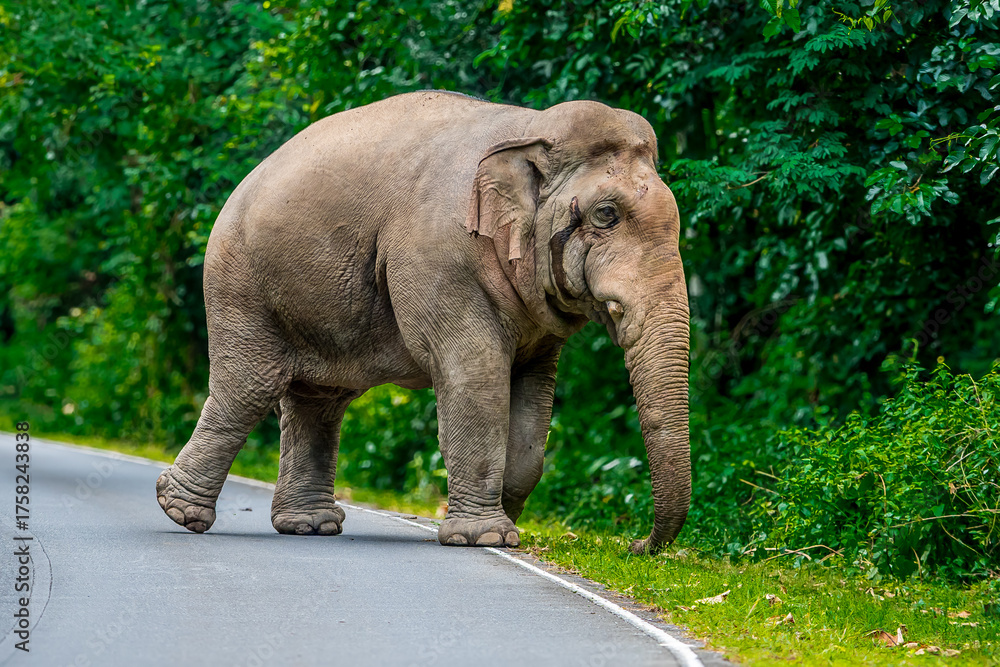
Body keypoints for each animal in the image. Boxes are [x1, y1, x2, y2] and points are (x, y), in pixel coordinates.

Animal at [156, 91, 690, 554]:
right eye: (606, 214)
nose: (635, 545)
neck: (530, 129)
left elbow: (533, 399)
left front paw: (502, 526)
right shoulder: (437, 256)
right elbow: (476, 371)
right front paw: (485, 538)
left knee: (319, 401)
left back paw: (311, 526)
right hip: (239, 285)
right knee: (248, 388)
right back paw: (179, 511)